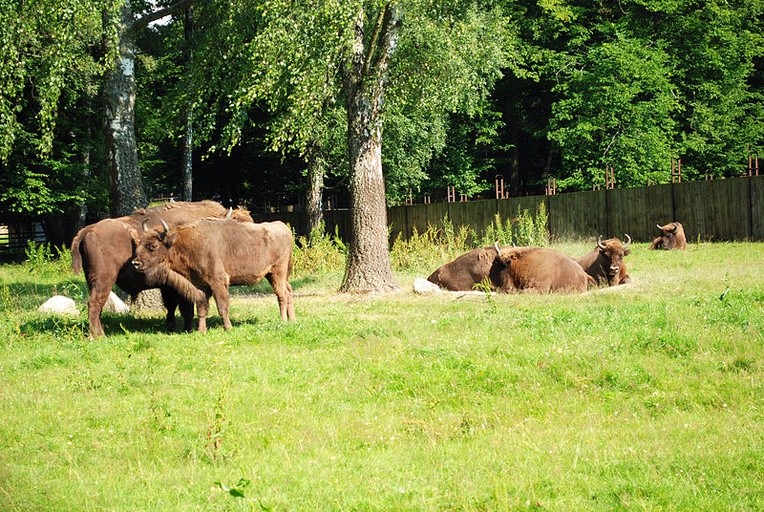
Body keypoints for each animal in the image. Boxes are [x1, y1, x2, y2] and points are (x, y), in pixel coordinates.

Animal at [70, 202, 246, 338]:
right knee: (95, 303)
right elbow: (185, 306)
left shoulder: (169, 285)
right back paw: (98, 336)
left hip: (92, 281)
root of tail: (89, 229)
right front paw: (186, 327)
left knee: (96, 305)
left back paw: (99, 332)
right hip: (104, 280)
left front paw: (172, 325)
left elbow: (172, 305)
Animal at [130, 217, 294, 332]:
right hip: (272, 274)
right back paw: (293, 320)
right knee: (288, 291)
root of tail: (283, 228)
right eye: (139, 244)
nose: (135, 263)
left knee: (281, 295)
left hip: (278, 272)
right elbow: (202, 309)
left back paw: (283, 321)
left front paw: (228, 328)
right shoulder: (201, 286)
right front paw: (201, 331)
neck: (182, 244)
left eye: (153, 246)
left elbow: (222, 306)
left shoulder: (218, 283)